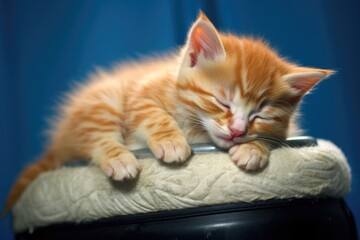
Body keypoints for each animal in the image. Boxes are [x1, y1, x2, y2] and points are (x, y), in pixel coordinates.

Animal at [2, 12, 334, 213]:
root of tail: (57, 143)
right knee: (96, 136)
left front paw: (253, 148)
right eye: (223, 102)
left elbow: (277, 137)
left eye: (260, 116)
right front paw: (171, 142)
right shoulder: (139, 92)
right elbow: (152, 114)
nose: (237, 131)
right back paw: (120, 159)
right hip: (104, 100)